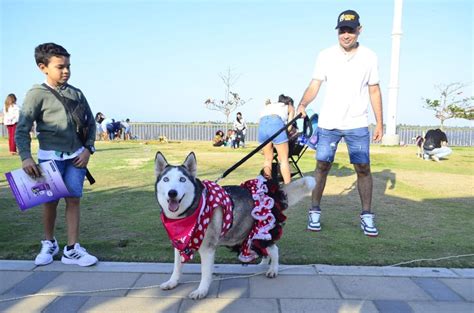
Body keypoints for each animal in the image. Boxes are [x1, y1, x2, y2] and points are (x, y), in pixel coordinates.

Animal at [156, 152, 316, 298]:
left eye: (182, 179)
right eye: (166, 179)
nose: (172, 193)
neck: (189, 213)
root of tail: (272, 194)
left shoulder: (207, 248)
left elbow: (205, 273)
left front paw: (201, 291)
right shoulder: (179, 243)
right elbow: (177, 267)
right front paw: (172, 282)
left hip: (262, 230)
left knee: (274, 249)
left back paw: (273, 270)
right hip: (253, 236)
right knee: (264, 248)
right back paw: (264, 264)